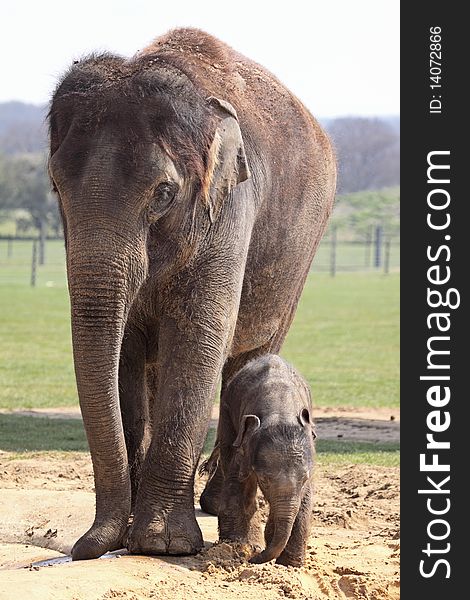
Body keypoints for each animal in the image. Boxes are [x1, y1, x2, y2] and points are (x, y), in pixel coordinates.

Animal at [207, 356, 316, 568]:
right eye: (264, 480)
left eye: (304, 479)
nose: (253, 559)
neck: (281, 411)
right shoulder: (245, 442)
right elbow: (237, 478)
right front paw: (235, 548)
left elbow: (305, 498)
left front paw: (290, 564)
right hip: (226, 415)